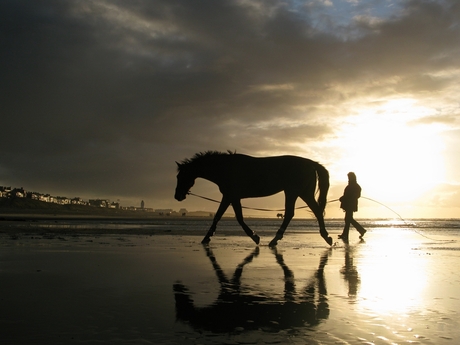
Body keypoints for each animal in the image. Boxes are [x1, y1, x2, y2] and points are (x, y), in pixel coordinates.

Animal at [174, 150, 332, 245]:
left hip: (295, 192)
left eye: (181, 177)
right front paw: (207, 237)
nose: (177, 196)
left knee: (296, 213)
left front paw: (254, 236)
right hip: (300, 193)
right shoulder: (230, 197)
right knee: (307, 212)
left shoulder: (231, 196)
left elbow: (237, 218)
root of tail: (310, 163)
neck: (226, 168)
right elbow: (219, 216)